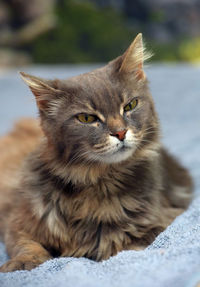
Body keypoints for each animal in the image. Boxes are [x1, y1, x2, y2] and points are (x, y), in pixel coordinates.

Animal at [0, 33, 194, 272]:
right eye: (87, 118)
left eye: (130, 105)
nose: (120, 132)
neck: (99, 182)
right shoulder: (17, 219)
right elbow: (27, 244)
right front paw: (23, 263)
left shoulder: (164, 219)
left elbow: (129, 242)